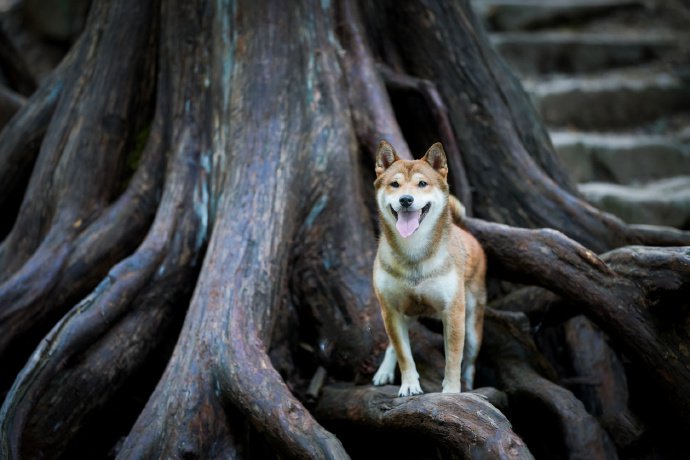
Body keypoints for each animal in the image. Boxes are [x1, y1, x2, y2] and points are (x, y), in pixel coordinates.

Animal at [368, 139, 486, 396]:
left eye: (422, 183)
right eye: (394, 184)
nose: (406, 199)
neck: (414, 254)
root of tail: (464, 231)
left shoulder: (453, 312)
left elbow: (453, 360)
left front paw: (451, 392)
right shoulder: (390, 310)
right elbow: (403, 354)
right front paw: (409, 385)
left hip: (473, 326)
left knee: (470, 361)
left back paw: (469, 384)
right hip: (405, 314)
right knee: (392, 345)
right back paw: (384, 372)